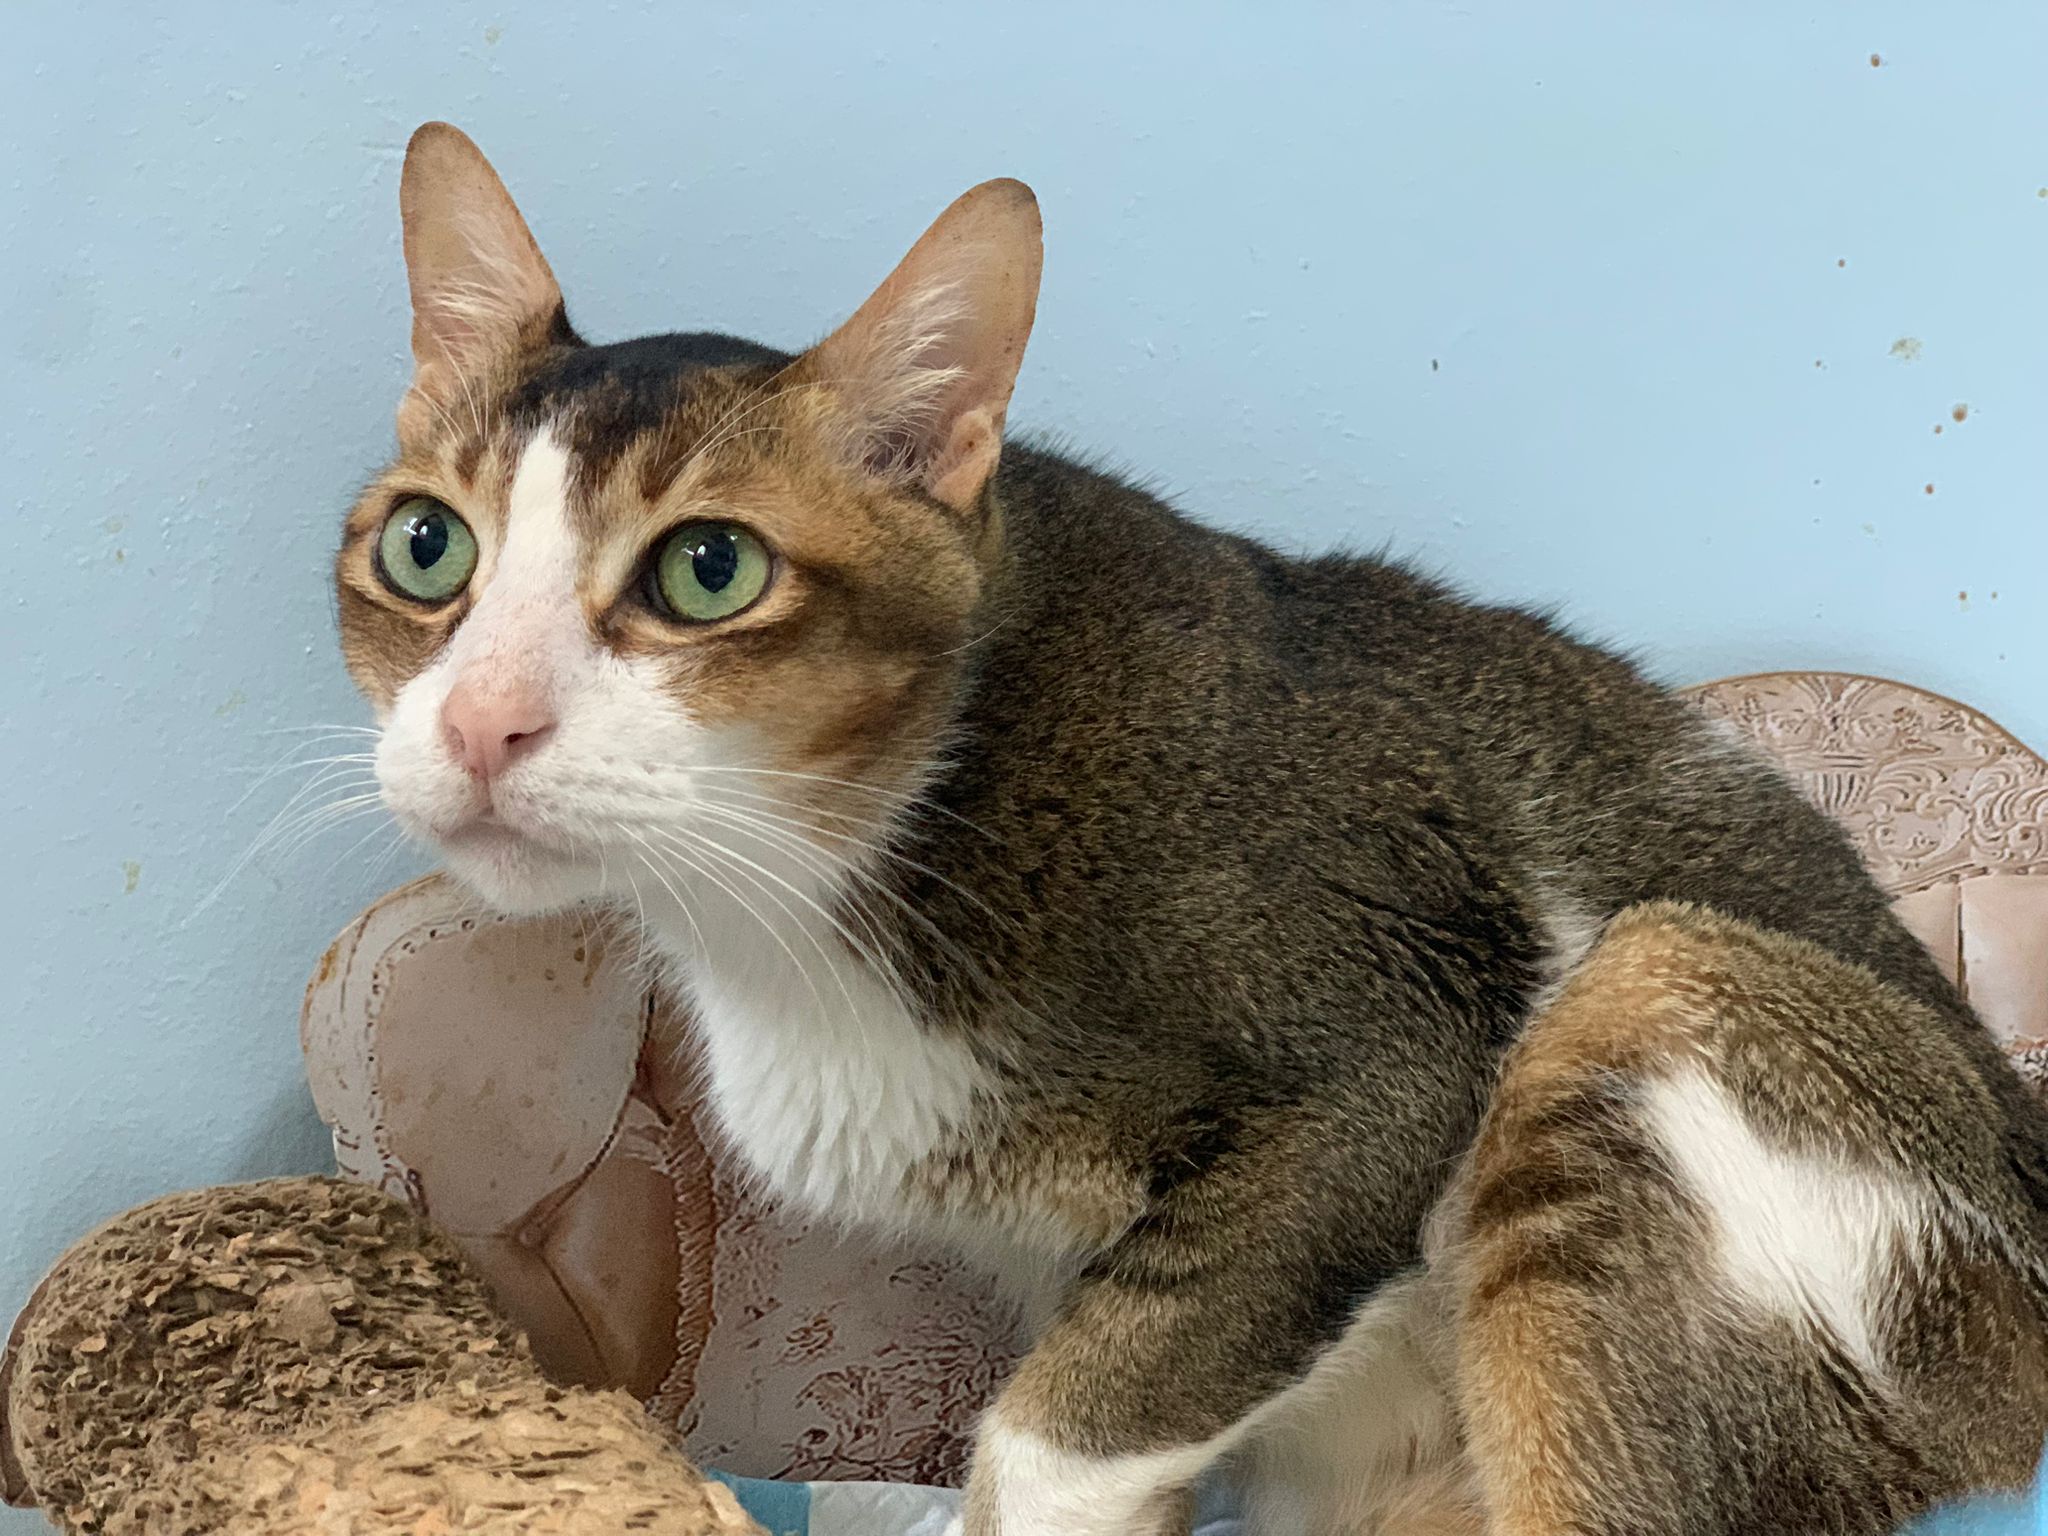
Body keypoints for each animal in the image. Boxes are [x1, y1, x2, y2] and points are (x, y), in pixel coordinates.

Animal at [336, 122, 2048, 1534]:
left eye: (708, 571)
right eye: (425, 548)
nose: (479, 723)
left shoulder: (1390, 1047)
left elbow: (1059, 1437)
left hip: (1668, 989)